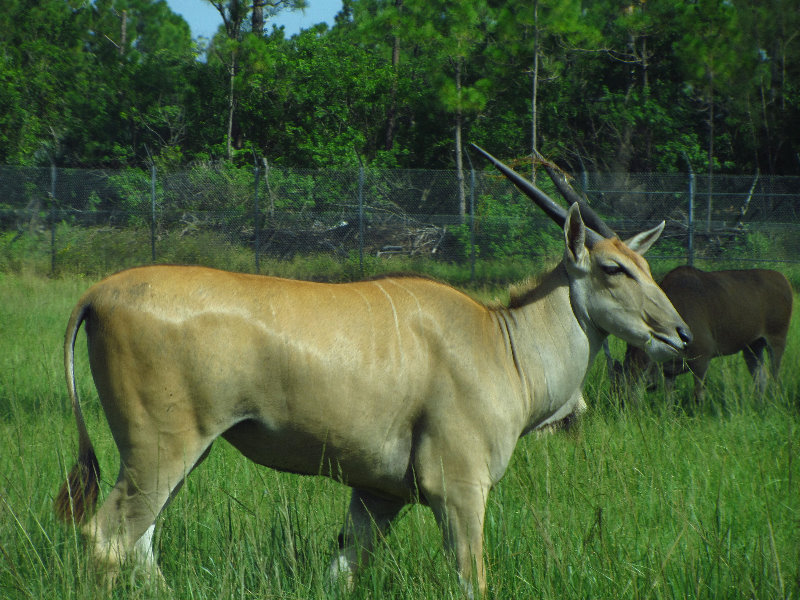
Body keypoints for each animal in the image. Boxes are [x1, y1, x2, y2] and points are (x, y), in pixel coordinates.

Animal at [56, 144, 692, 596]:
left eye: (645, 265)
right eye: (613, 268)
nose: (680, 335)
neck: (499, 341)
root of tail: (98, 293)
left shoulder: (376, 498)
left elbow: (339, 572)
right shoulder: (459, 490)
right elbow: (472, 579)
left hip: (179, 454)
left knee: (140, 542)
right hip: (161, 450)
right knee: (107, 539)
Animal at [620, 268, 792, 404]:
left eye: (638, 368)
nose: (626, 399)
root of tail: (784, 279)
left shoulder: (702, 358)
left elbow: (698, 395)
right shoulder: (670, 369)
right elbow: (669, 398)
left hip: (777, 340)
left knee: (775, 376)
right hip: (752, 346)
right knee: (760, 377)